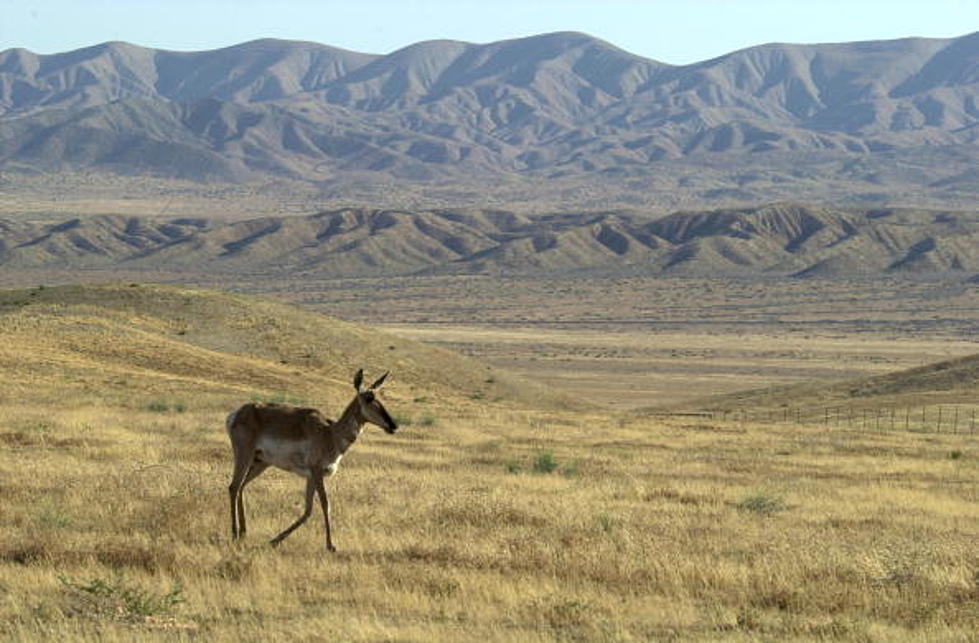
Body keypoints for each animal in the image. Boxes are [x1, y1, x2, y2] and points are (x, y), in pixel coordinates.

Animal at [226, 370, 398, 552]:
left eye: (379, 396)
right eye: (369, 398)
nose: (393, 425)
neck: (330, 433)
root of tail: (236, 414)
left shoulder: (310, 477)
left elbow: (307, 511)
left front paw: (275, 540)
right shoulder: (317, 472)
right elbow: (325, 504)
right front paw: (331, 545)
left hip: (260, 463)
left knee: (241, 487)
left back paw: (244, 532)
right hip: (244, 456)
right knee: (234, 487)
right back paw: (235, 534)